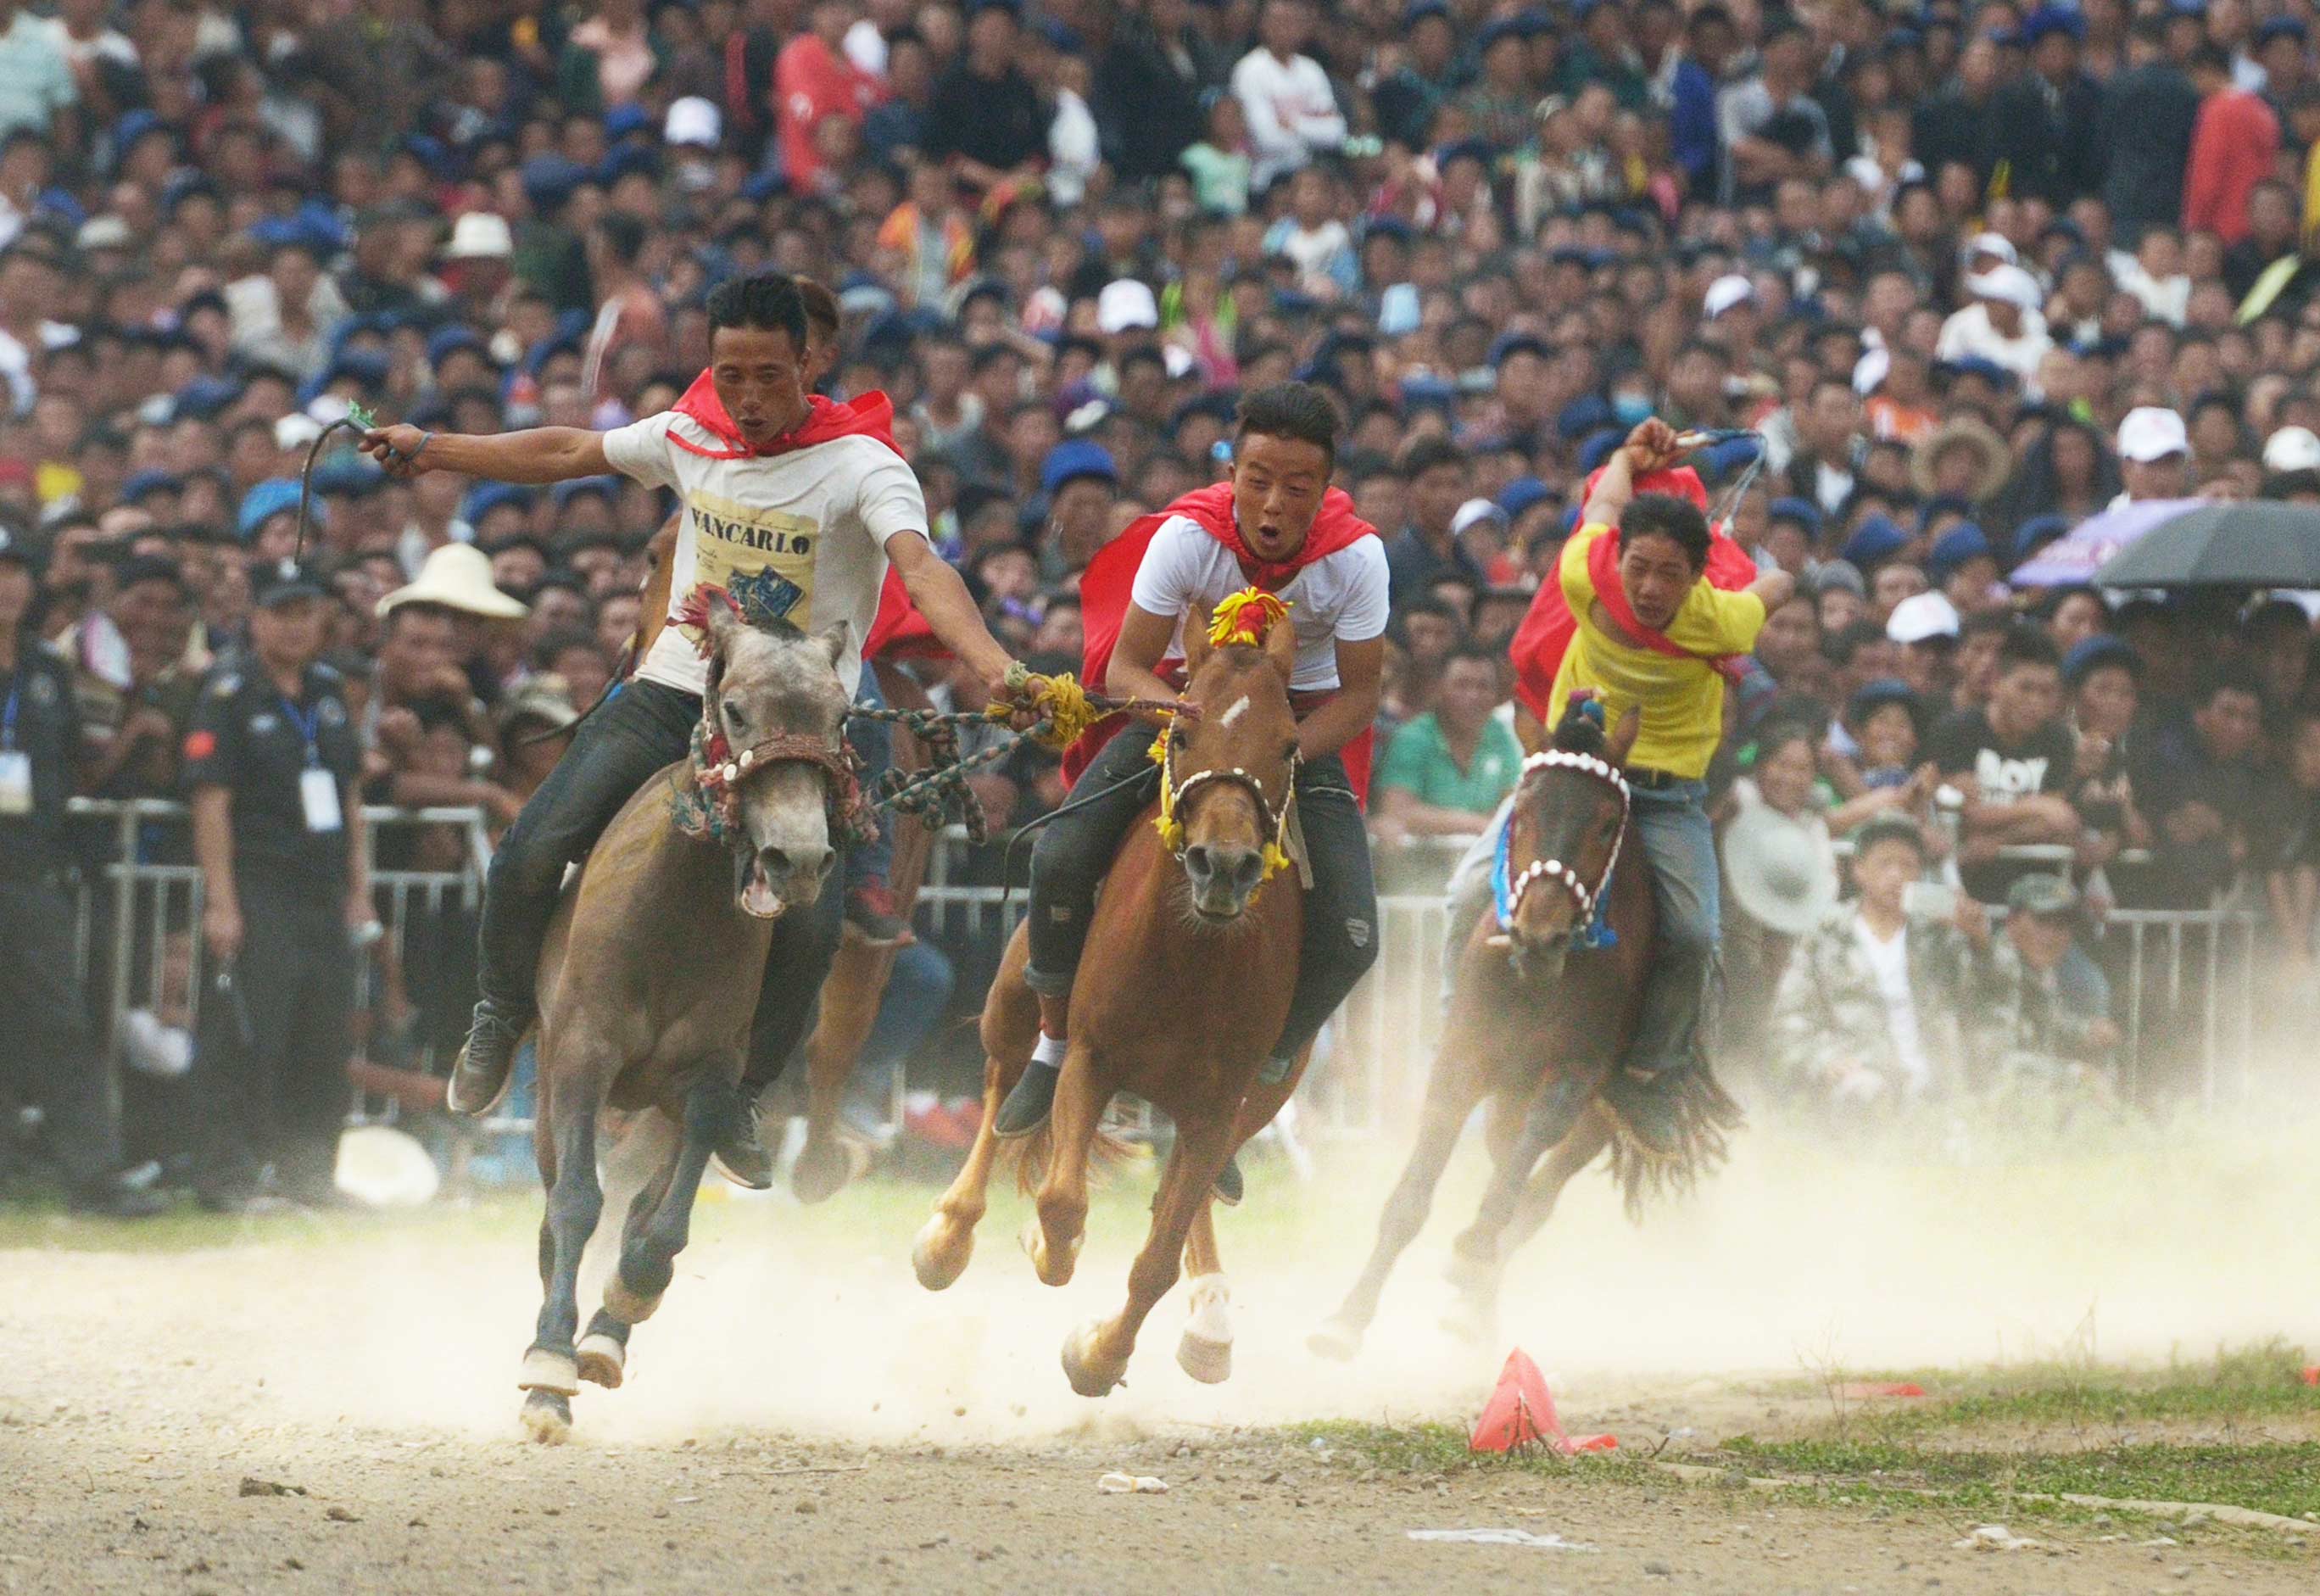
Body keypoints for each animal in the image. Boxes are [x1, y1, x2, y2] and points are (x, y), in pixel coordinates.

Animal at [517, 591, 862, 1437]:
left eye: (840, 716)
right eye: (734, 710)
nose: (797, 859)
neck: (671, 911)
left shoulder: (709, 1072)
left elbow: (660, 1221)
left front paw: (627, 1298)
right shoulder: (582, 1057)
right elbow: (576, 1202)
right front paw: (548, 1368)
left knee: (647, 1198)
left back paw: (606, 1336)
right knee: (557, 1205)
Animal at [905, 603, 1308, 1392]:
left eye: (1288, 746)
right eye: (1181, 734)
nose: (1224, 866)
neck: (1193, 958)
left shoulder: (1219, 1104)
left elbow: (1157, 1255)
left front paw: (1098, 1356)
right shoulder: (1092, 1058)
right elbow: (1062, 1202)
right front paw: (1044, 1245)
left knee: (1189, 1194)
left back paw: (1210, 1319)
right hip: (1013, 995)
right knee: (1004, 1084)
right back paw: (947, 1234)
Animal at [1308, 700, 1744, 1354]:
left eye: (1607, 823)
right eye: (1524, 807)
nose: (1542, 934)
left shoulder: (1576, 1073)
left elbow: (1526, 1166)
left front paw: (1474, 1248)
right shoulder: (1463, 1059)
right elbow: (1412, 1197)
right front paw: (1345, 1319)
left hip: (1599, 1119)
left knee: (1536, 1198)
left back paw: (1476, 1295)